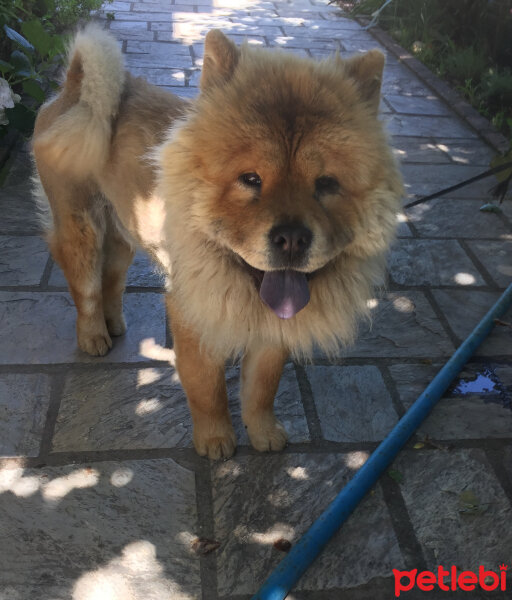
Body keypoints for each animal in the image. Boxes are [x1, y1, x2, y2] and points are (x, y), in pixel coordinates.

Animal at [32, 25, 404, 460]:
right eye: (250, 179)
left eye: (327, 184)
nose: (292, 238)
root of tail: (72, 92)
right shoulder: (194, 316)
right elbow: (206, 388)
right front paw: (215, 441)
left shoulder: (272, 331)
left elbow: (262, 387)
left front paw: (264, 434)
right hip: (82, 228)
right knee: (86, 288)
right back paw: (94, 336)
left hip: (124, 232)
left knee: (111, 277)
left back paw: (114, 323)